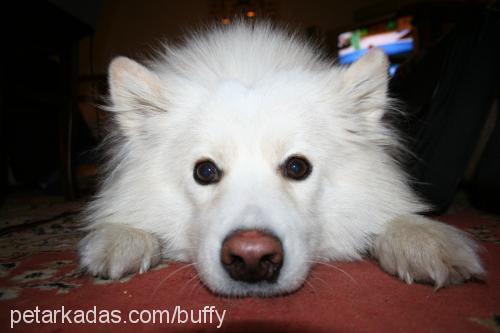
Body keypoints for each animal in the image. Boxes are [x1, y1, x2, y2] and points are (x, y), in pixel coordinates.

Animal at [79, 21, 484, 296]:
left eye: (297, 167)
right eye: (205, 171)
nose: (252, 257)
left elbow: (391, 219)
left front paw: (421, 238)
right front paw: (124, 236)